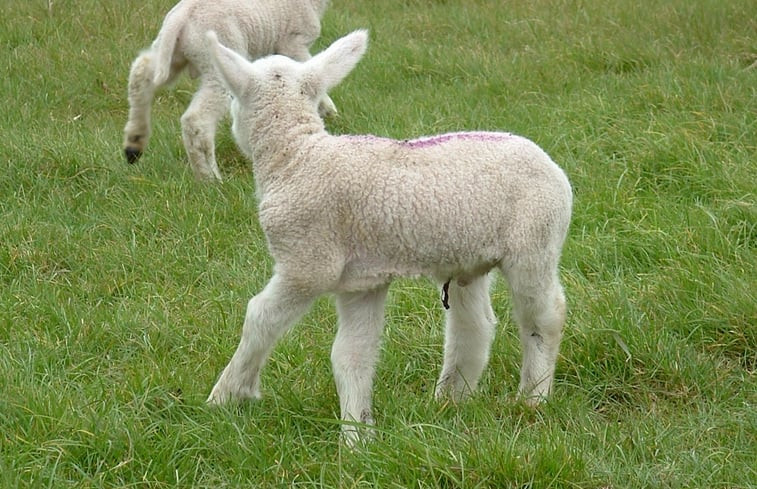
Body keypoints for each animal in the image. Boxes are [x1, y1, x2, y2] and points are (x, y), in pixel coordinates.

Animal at [122, 0, 334, 180]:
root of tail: (183, 15)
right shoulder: (293, 42)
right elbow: (310, 72)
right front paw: (327, 110)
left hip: (171, 53)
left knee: (140, 73)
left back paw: (134, 144)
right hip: (215, 62)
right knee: (196, 120)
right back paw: (209, 178)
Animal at [204, 28, 568, 444]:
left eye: (233, 99)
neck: (297, 155)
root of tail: (551, 164)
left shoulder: (306, 262)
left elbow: (259, 317)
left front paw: (229, 394)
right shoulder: (361, 281)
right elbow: (351, 355)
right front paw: (356, 435)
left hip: (535, 242)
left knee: (543, 316)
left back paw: (532, 397)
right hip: (468, 258)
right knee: (474, 326)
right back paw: (450, 399)